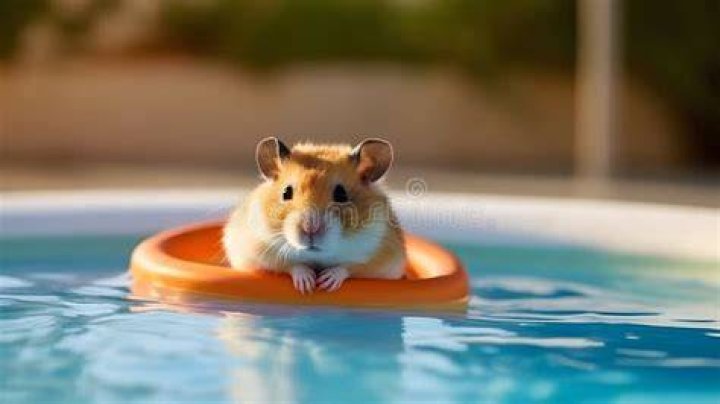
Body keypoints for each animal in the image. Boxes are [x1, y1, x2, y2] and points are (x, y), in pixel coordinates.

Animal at [223, 137, 406, 294]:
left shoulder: (380, 255)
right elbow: (292, 265)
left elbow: (348, 267)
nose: (310, 229)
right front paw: (307, 286)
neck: (317, 255)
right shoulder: (259, 250)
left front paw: (326, 283)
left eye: (341, 195)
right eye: (286, 192)